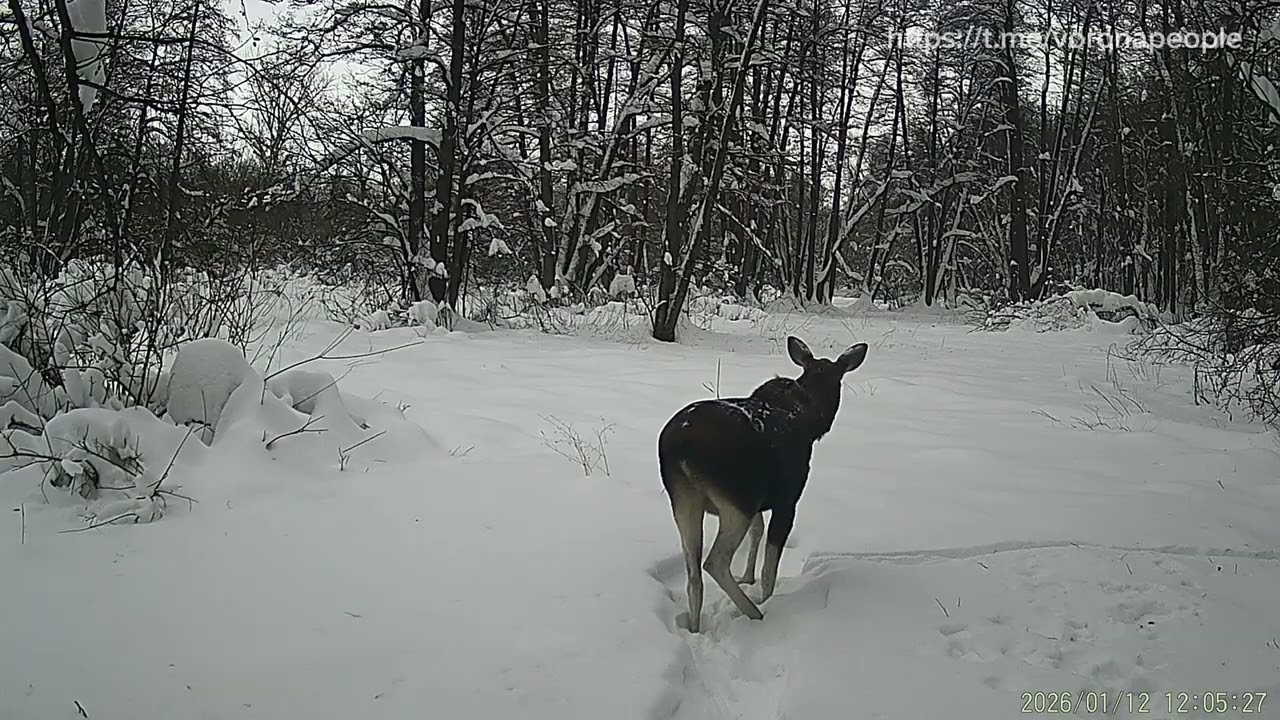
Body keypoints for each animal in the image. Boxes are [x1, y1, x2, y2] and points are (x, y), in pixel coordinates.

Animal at [658, 336, 869, 633]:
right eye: (839, 380)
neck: (811, 418)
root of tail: (679, 448)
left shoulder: (759, 499)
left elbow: (757, 531)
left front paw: (747, 577)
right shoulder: (787, 499)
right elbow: (771, 563)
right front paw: (766, 597)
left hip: (684, 499)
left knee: (693, 574)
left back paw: (695, 627)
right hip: (737, 499)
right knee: (715, 562)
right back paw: (755, 613)